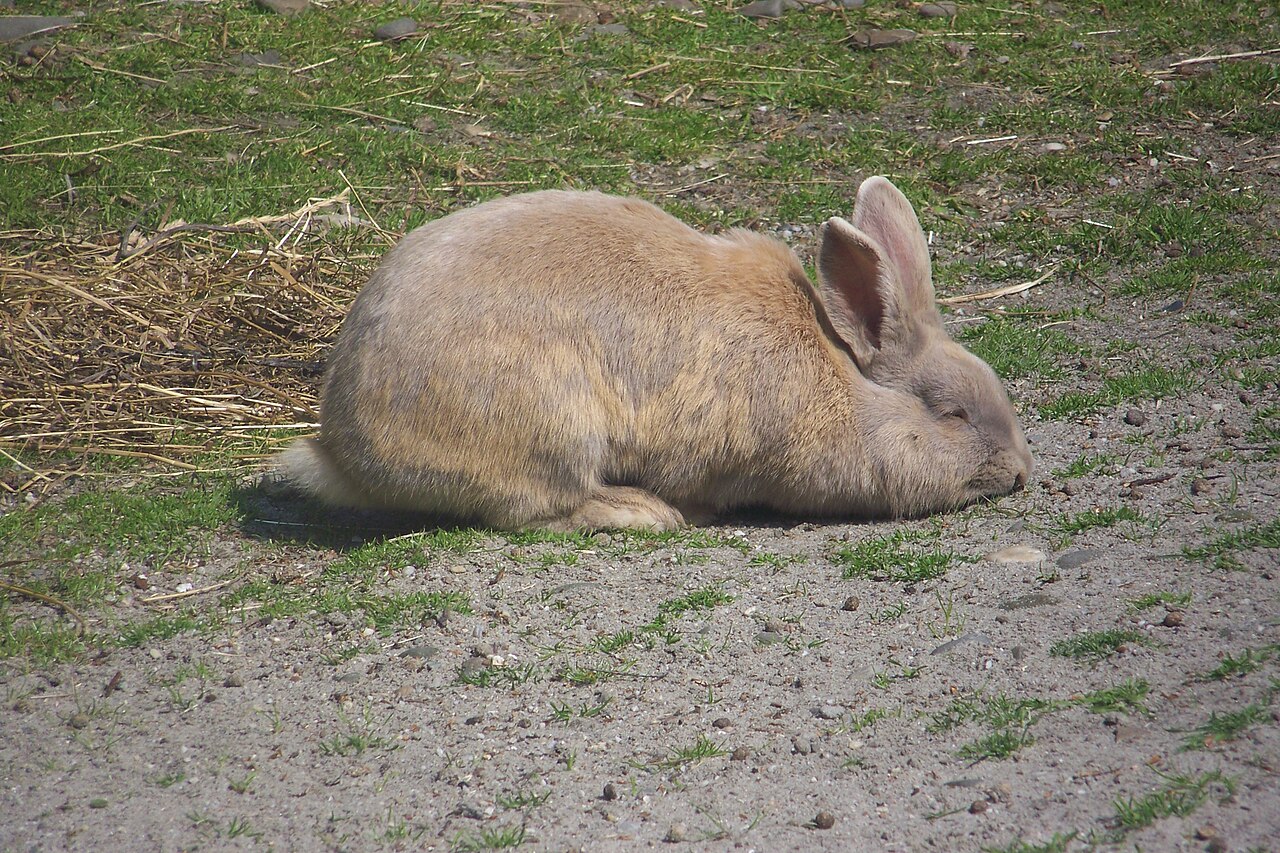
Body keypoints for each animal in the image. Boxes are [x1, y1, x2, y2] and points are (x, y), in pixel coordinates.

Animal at [275, 176, 1032, 531]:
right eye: (953, 414)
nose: (1023, 471)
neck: (844, 380)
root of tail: (343, 448)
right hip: (551, 430)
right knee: (534, 507)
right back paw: (642, 511)